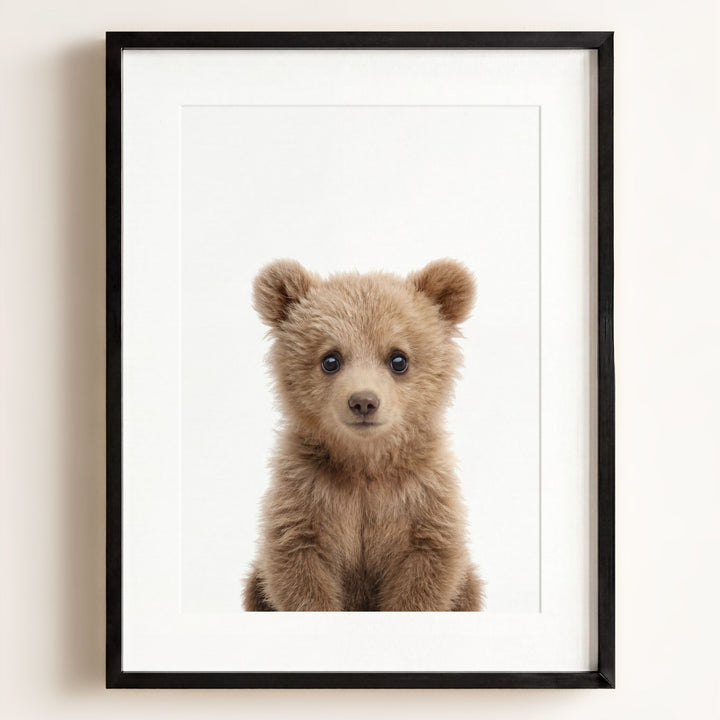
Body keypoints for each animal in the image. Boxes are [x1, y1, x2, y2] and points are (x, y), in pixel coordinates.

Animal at [243, 258, 484, 611]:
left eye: (398, 359)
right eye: (330, 359)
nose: (363, 402)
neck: (364, 463)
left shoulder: (421, 498)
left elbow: (425, 570)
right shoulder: (306, 494)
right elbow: (299, 568)